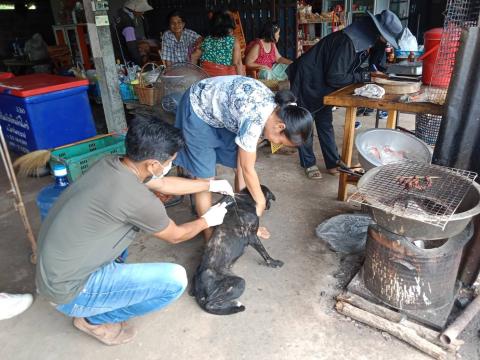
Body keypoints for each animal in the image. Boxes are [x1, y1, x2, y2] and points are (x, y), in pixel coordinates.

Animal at [189, 186, 284, 316]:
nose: (268, 205)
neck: (243, 198)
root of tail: (199, 290)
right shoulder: (252, 236)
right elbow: (264, 253)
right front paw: (274, 262)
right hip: (239, 282)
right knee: (210, 304)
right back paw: (237, 306)